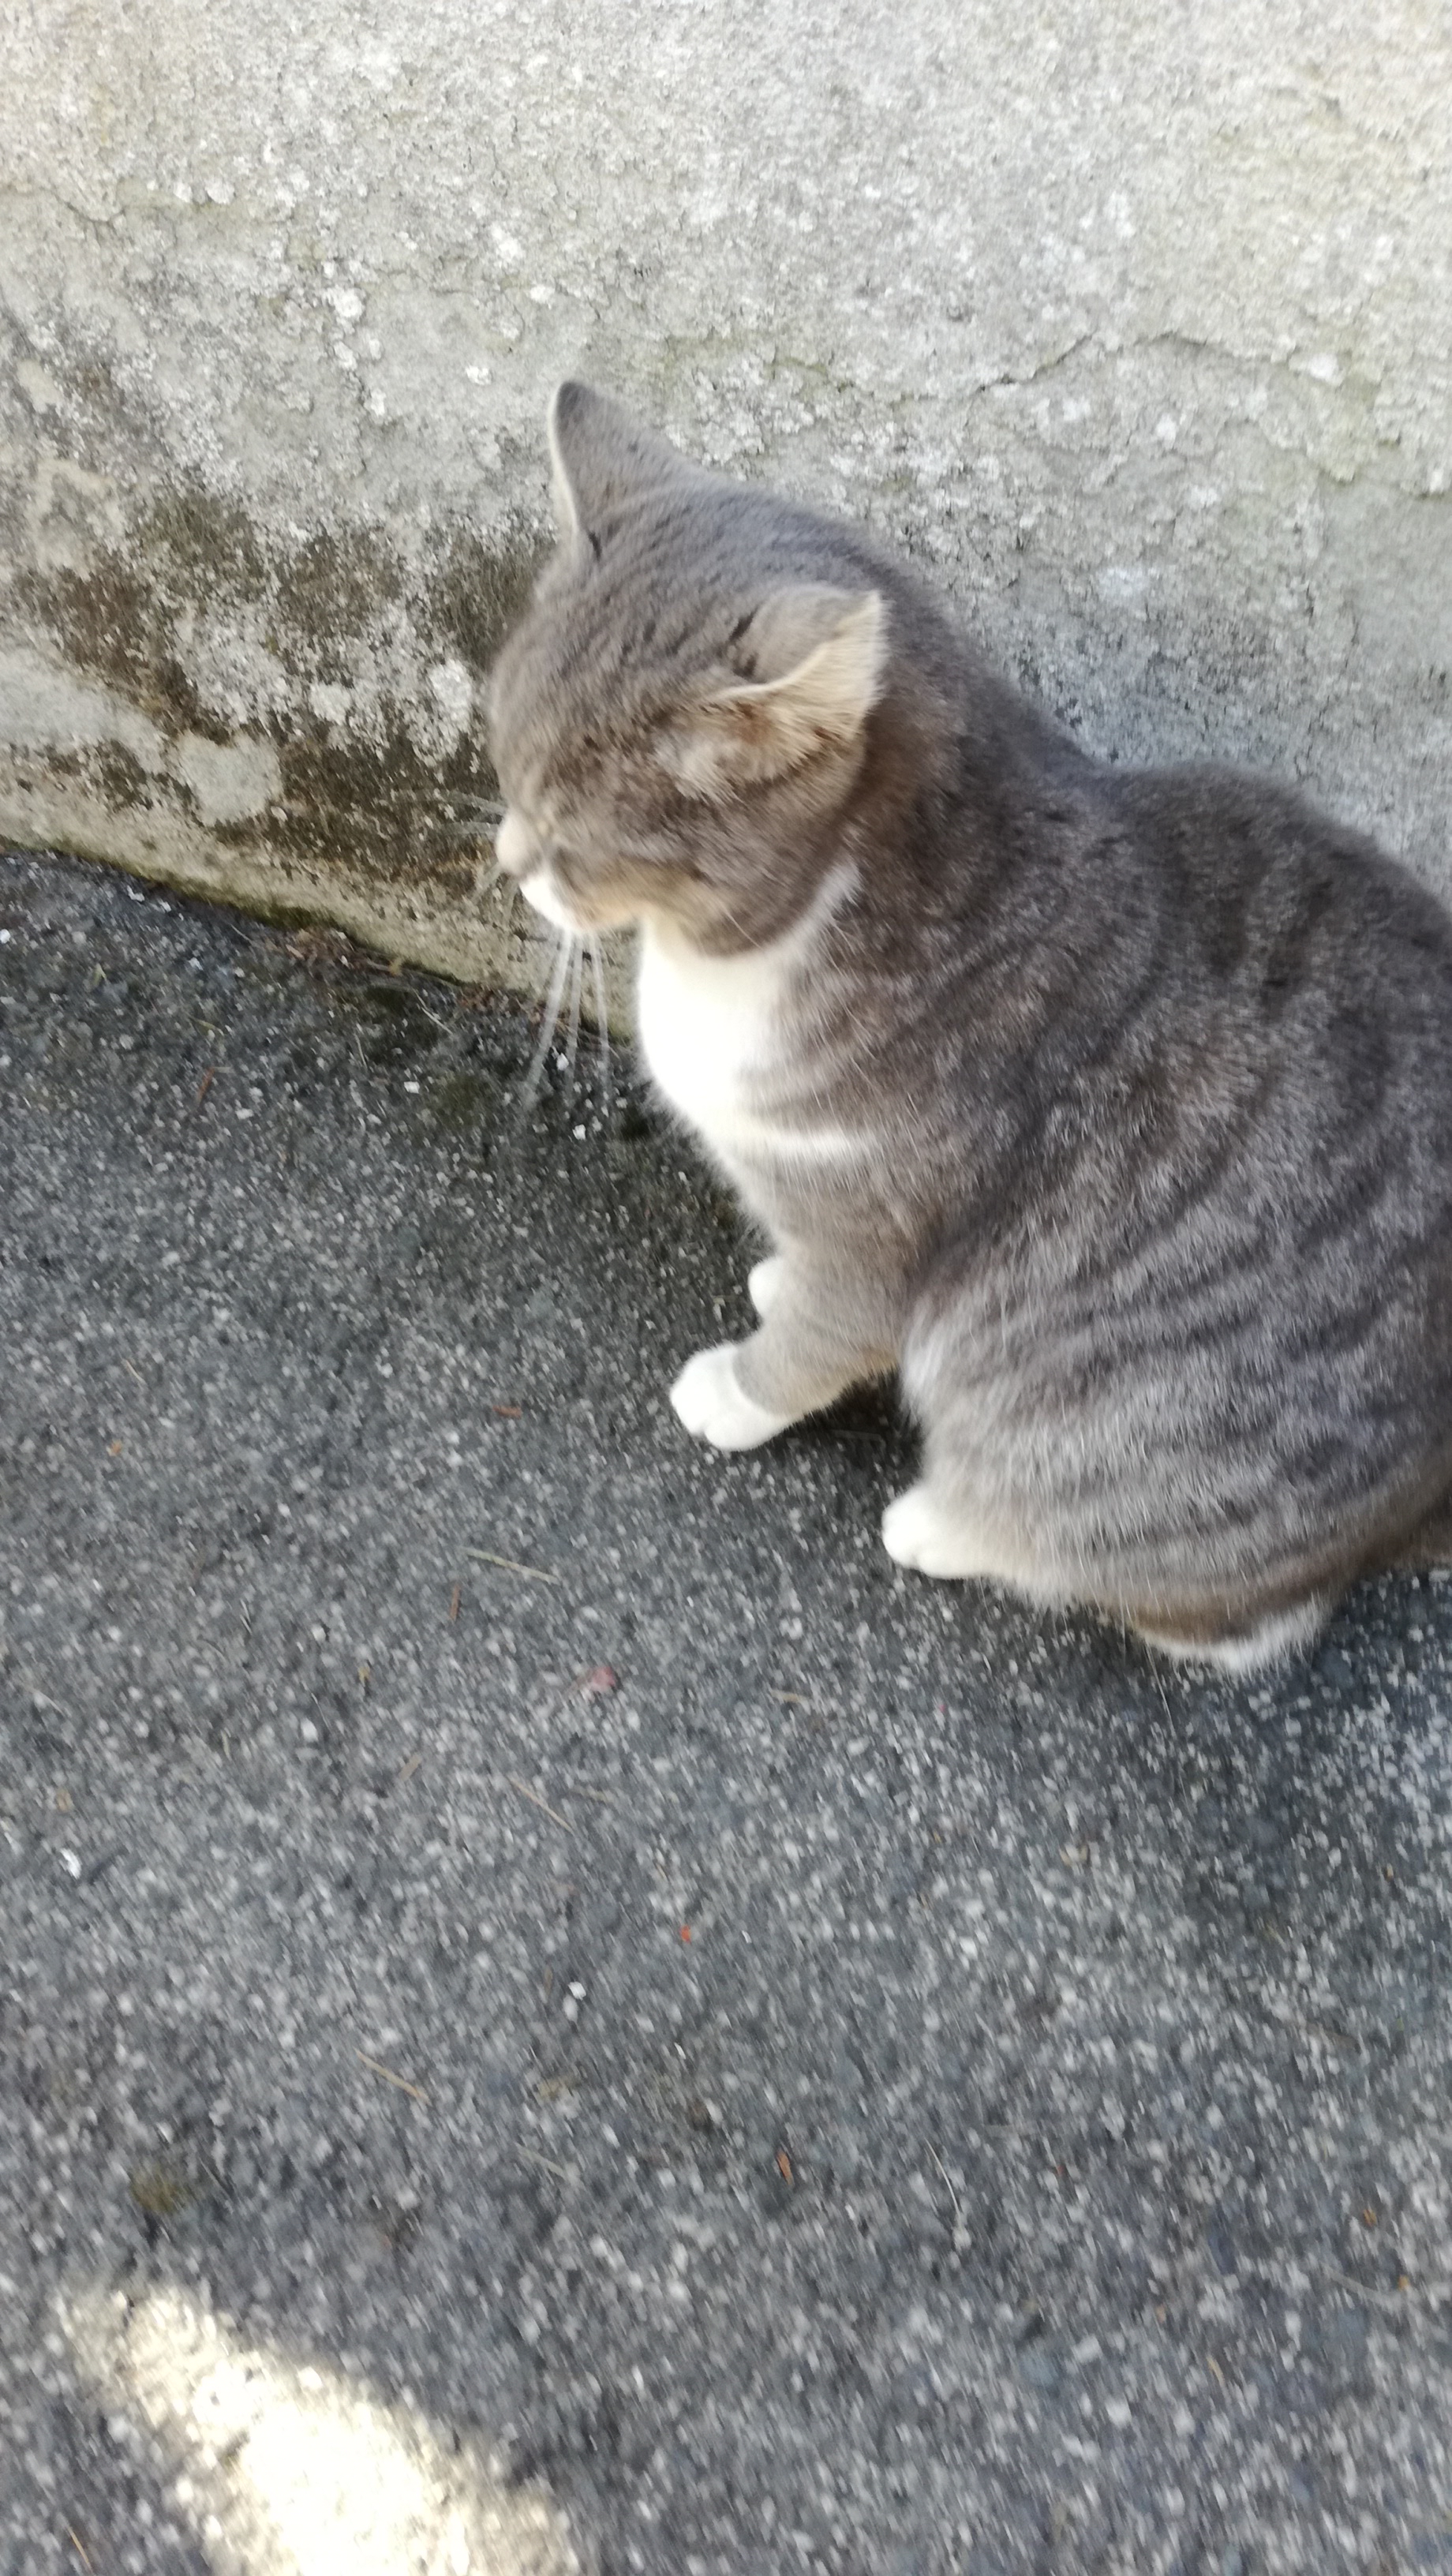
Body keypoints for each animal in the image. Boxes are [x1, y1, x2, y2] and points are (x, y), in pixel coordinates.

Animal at [486, 380, 1452, 1671]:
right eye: (503, 766)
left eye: (574, 840)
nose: (507, 862)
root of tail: (1419, 1508)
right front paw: (771, 1282)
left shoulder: (880, 1236)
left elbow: (819, 1342)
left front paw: (734, 1392)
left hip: (1120, 1443)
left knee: (1214, 1611)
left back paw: (942, 1524)